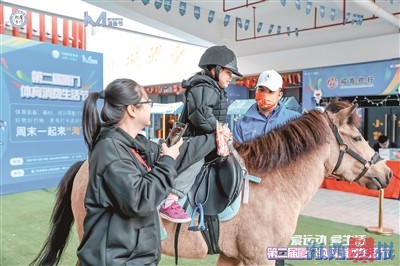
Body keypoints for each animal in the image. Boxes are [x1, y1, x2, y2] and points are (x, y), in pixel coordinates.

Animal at [30, 100, 390, 266]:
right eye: (357, 137)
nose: (386, 173)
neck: (273, 184)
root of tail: (86, 164)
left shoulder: (234, 256)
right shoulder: (259, 257)